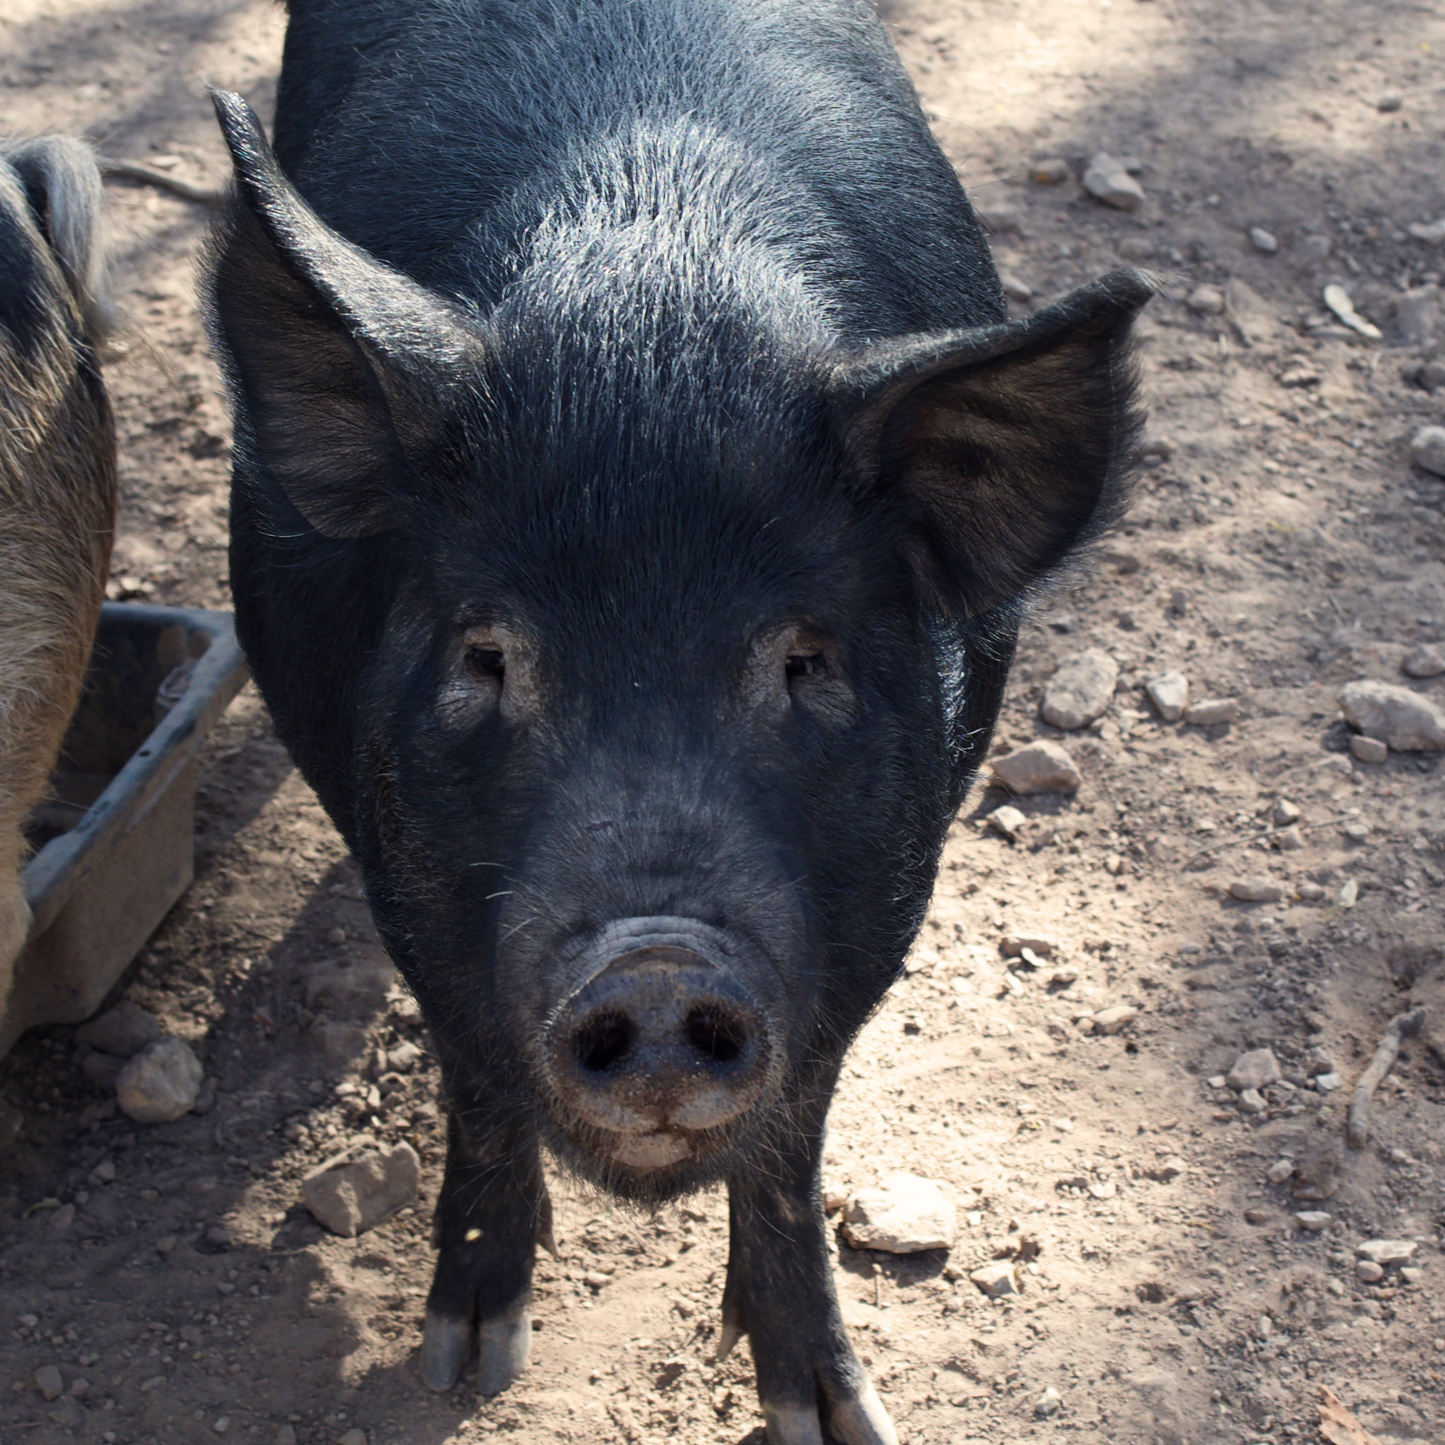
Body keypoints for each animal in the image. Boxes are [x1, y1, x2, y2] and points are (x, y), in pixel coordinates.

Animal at [206, 1, 1154, 1437]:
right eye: (487, 652)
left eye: (805, 658)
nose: (653, 963)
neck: (652, 281)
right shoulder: (395, 859)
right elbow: (473, 1070)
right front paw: (463, 1359)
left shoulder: (882, 892)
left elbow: (794, 1129)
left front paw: (833, 1411)